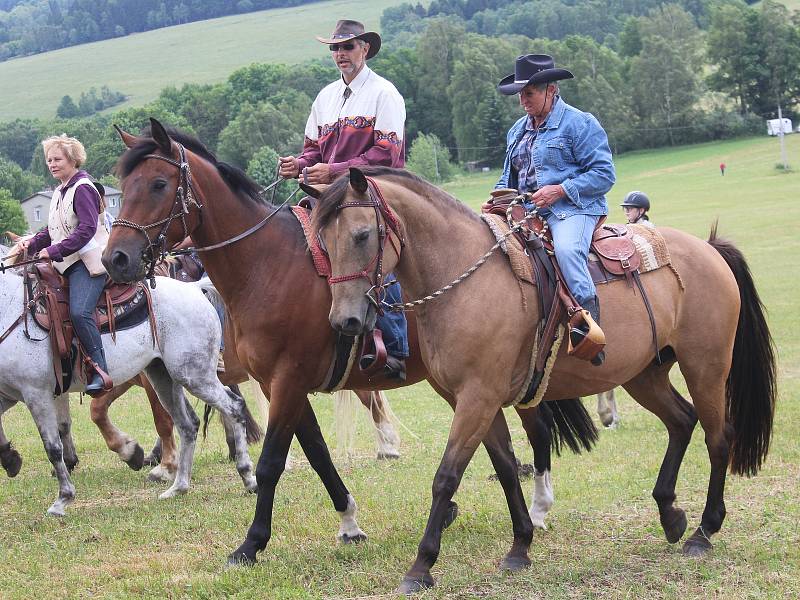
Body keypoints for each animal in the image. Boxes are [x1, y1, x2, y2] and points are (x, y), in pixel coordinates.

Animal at [100, 119, 596, 564]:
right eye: (124, 185)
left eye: (159, 183)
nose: (115, 259)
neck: (266, 266)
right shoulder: (280, 385)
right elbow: (318, 455)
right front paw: (349, 522)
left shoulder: (289, 380)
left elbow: (271, 462)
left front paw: (251, 544)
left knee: (538, 428)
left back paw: (539, 509)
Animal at [306, 165, 776, 592]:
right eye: (322, 243)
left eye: (362, 235)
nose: (344, 320)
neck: (465, 278)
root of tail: (708, 249)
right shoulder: (476, 400)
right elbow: (506, 468)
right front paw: (520, 547)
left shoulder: (477, 397)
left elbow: (446, 476)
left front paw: (421, 567)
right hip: (644, 374)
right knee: (681, 421)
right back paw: (671, 515)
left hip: (706, 366)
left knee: (718, 437)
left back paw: (703, 531)